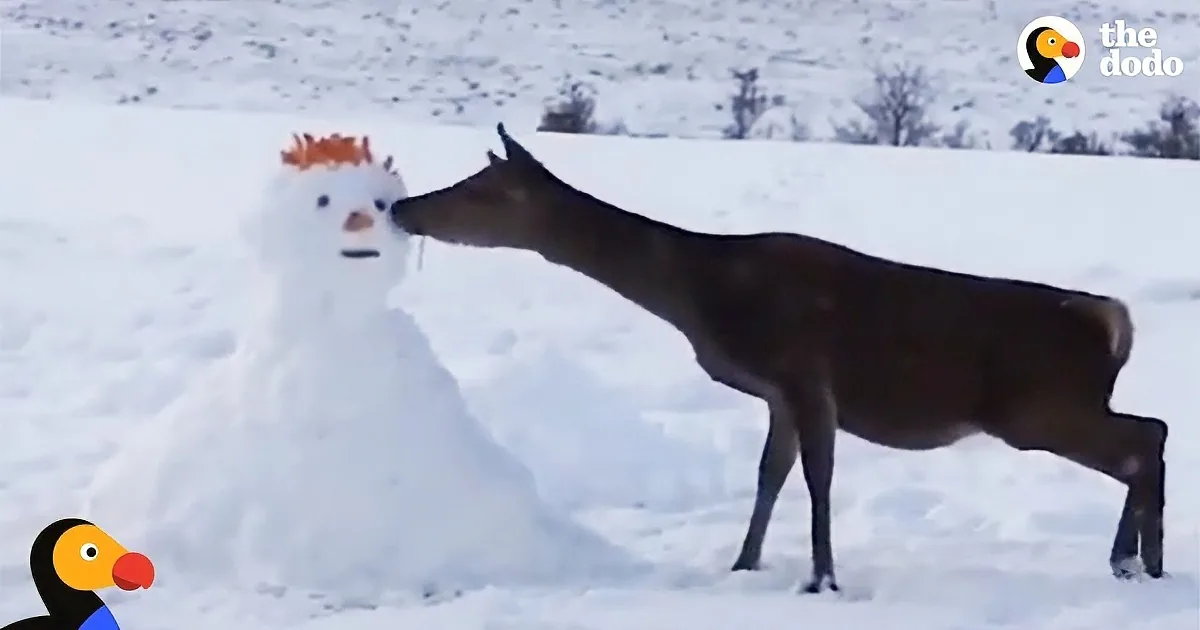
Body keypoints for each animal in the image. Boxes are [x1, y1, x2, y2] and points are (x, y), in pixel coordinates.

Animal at [388, 124, 1168, 594]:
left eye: (481, 190)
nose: (401, 209)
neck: (705, 295)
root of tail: (1113, 323)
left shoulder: (804, 372)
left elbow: (818, 478)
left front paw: (821, 579)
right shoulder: (776, 392)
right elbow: (770, 475)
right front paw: (744, 563)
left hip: (1034, 405)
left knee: (1144, 439)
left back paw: (1134, 561)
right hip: (1052, 404)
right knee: (1150, 432)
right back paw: (1136, 563)